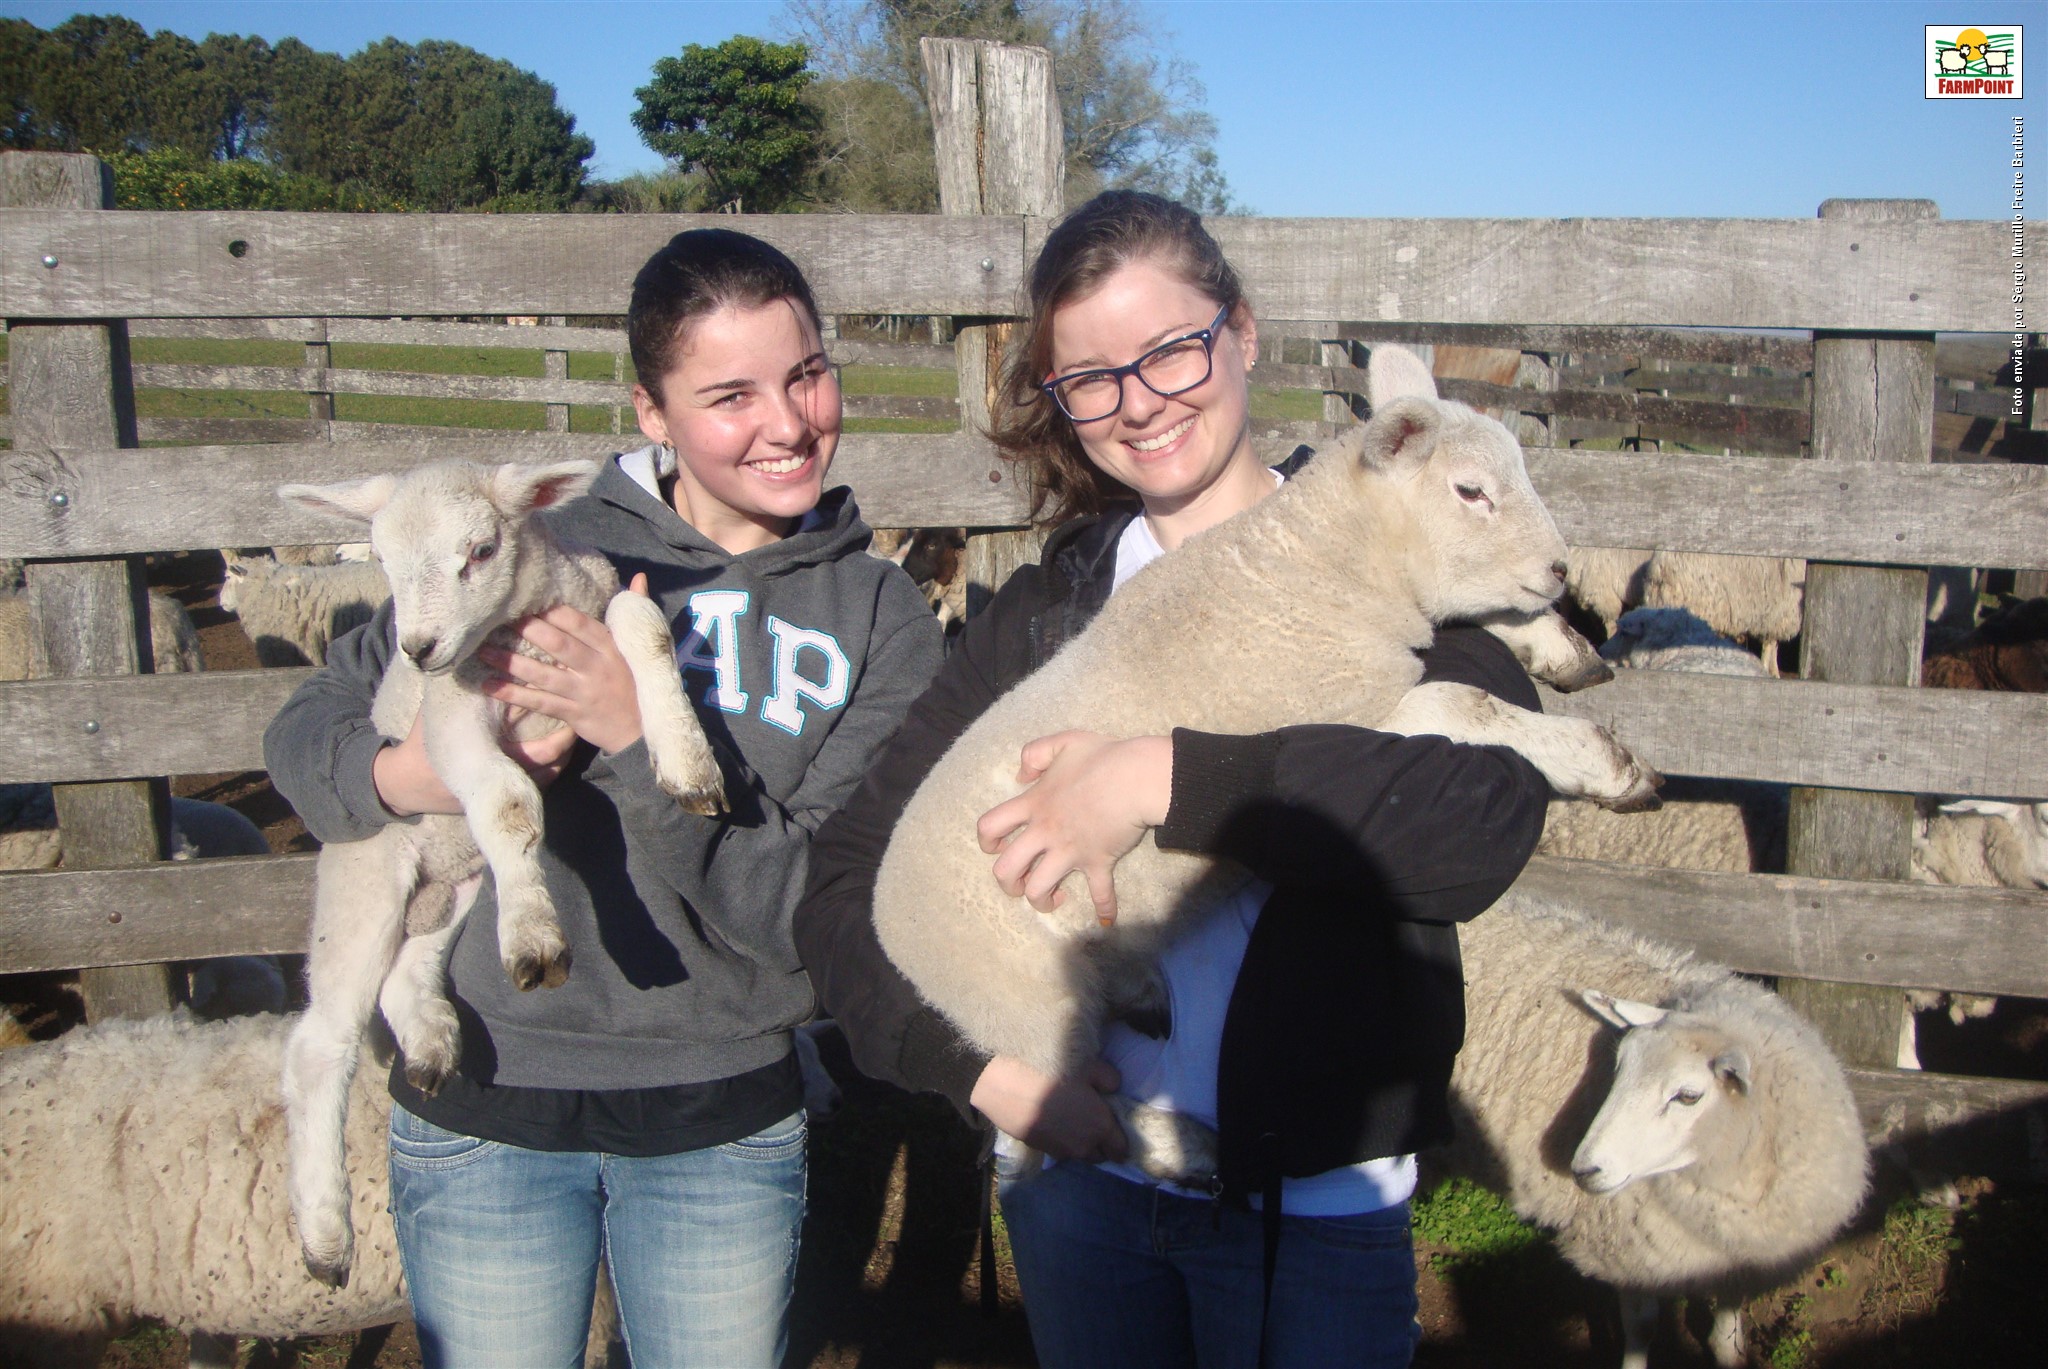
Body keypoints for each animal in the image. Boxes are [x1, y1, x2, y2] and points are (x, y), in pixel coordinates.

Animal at [275, 458, 727, 1286]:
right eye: (380, 560)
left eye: (480, 550)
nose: (418, 648)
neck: (522, 625)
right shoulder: (452, 716)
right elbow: (511, 802)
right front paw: (536, 942)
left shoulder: (596, 603)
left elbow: (641, 622)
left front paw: (688, 763)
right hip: (366, 885)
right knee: (319, 1046)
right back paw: (324, 1236)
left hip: (450, 889)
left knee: (408, 972)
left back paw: (430, 1045)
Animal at [1447, 890, 1870, 1369]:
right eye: (1617, 1067)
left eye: (1687, 1096)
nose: (1584, 1170)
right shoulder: (1627, 1248)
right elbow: (1643, 1326)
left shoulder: (1736, 1254)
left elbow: (1730, 1320)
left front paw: (1729, 1352)